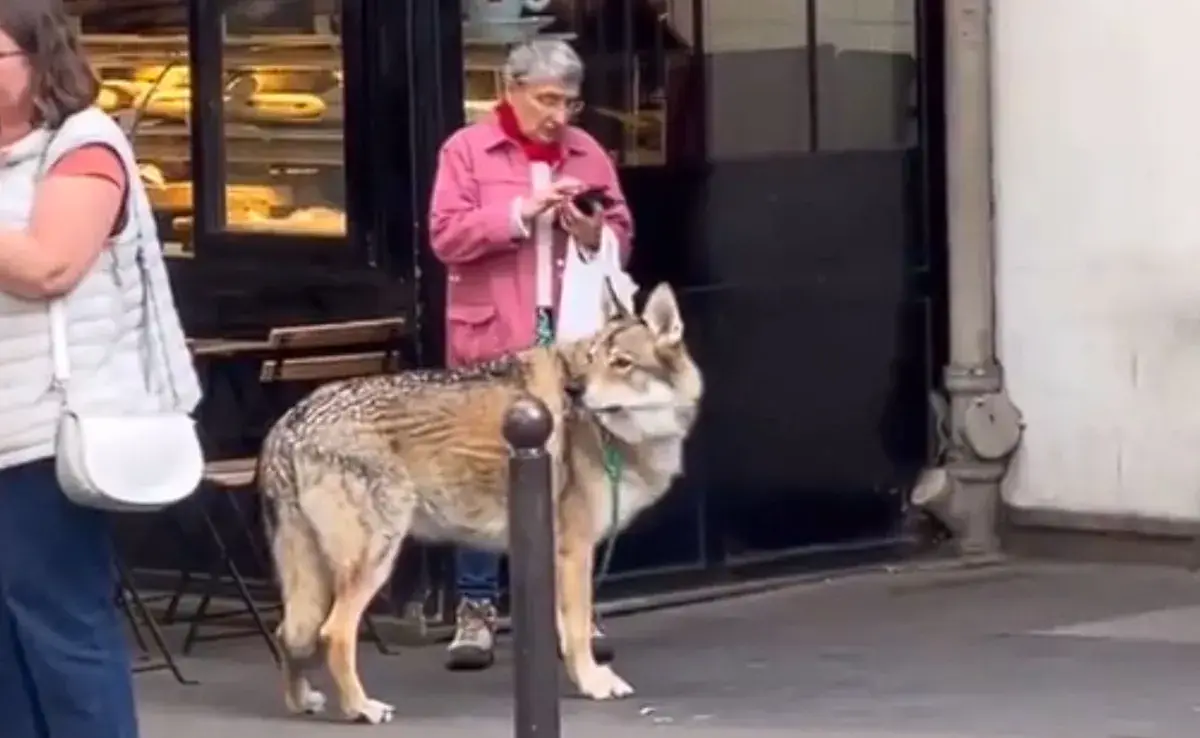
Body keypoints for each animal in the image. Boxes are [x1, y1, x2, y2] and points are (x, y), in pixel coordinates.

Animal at [255, 284, 700, 729]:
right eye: (592, 359)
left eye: (621, 363)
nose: (574, 390)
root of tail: (289, 423)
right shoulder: (574, 552)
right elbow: (576, 630)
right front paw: (594, 682)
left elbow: (562, 630)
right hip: (375, 560)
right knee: (333, 633)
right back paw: (361, 708)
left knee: (288, 632)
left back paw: (303, 701)